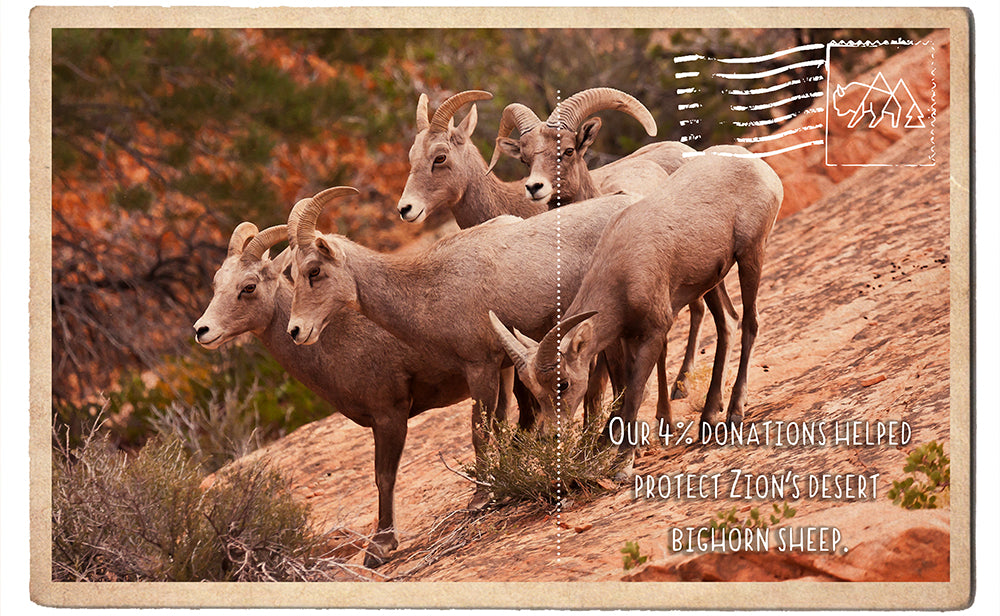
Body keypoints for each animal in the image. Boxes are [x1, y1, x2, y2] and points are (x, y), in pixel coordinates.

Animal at [193, 222, 469, 568]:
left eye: (249, 287)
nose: (201, 330)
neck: (339, 339)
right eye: (217, 283)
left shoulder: (389, 415)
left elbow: (383, 477)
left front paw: (379, 549)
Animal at [283, 186, 637, 504]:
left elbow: (479, 431)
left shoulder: (481, 366)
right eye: (293, 275)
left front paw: (480, 498)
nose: (296, 331)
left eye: (314, 270)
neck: (429, 287)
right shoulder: (498, 369)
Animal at [489, 147, 783, 473]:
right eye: (533, 389)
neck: (623, 270)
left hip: (750, 256)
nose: (548, 437)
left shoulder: (654, 332)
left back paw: (733, 413)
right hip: (711, 280)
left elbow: (634, 391)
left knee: (750, 323)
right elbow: (625, 388)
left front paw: (622, 465)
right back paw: (707, 419)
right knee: (728, 323)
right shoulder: (628, 337)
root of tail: (755, 163)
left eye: (562, 383)